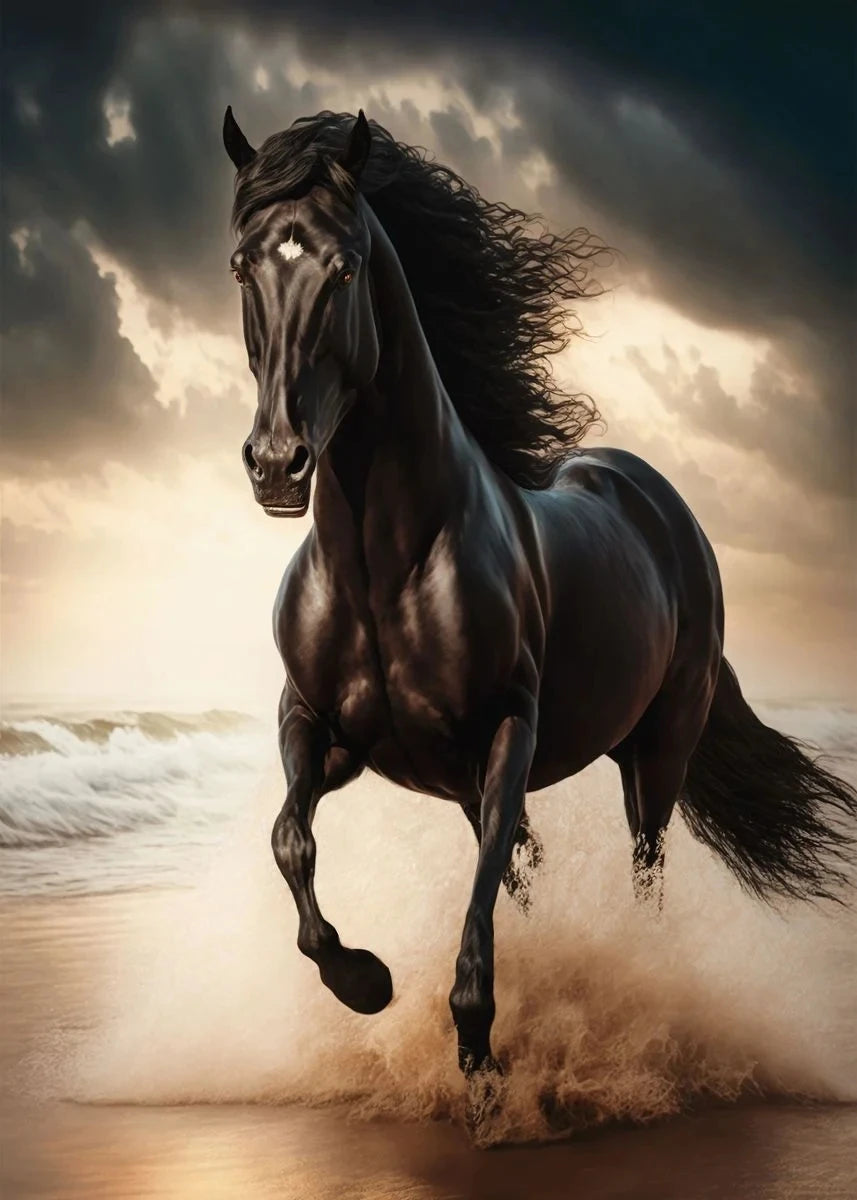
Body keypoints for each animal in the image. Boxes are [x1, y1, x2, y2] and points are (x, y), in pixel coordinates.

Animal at [222, 106, 857, 1112]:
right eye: (244, 265)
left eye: (345, 266)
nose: (278, 463)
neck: (384, 562)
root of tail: (661, 505)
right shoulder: (321, 729)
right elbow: (290, 840)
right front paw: (366, 982)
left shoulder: (504, 734)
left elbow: (478, 919)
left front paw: (481, 1067)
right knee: (527, 871)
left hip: (656, 750)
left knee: (643, 870)